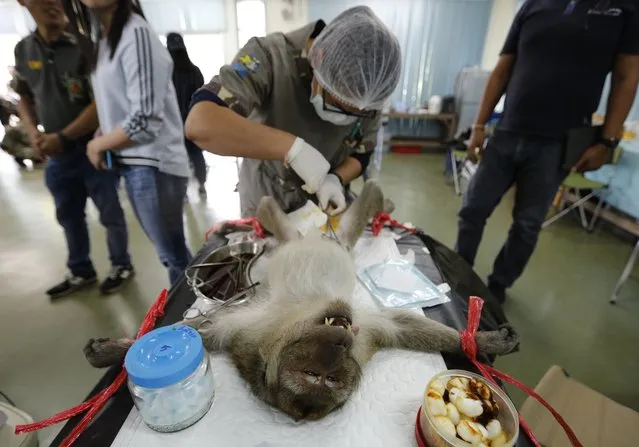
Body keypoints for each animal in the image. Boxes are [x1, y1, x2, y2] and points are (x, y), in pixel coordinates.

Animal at [84, 180, 520, 422]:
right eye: (314, 375)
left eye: (331, 379)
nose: (338, 345)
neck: (292, 324)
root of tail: (317, 235)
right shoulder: (245, 333)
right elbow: (198, 333)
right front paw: (117, 351)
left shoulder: (365, 337)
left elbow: (401, 325)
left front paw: (478, 341)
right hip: (305, 237)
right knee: (272, 211)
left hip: (336, 239)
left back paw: (374, 203)